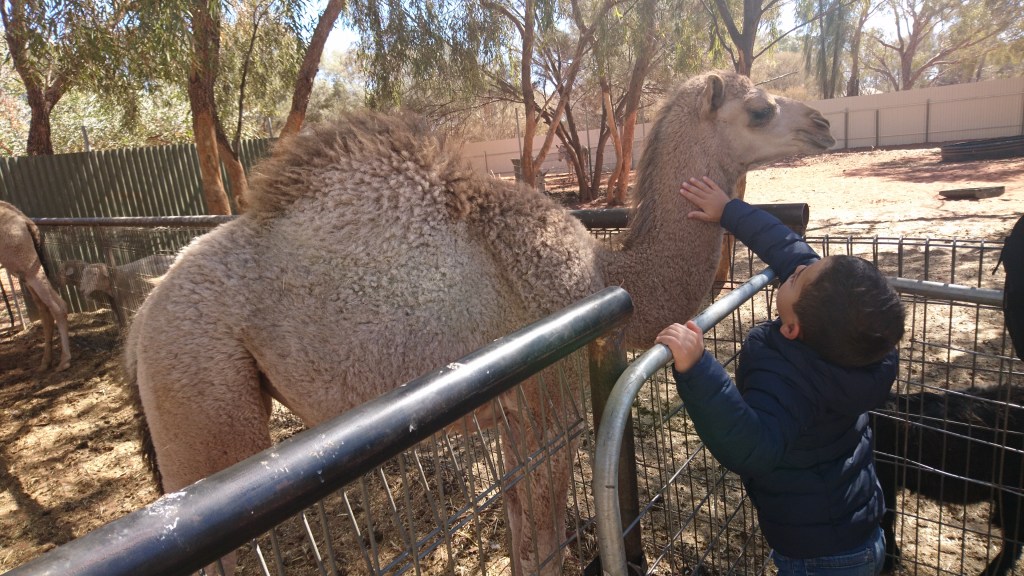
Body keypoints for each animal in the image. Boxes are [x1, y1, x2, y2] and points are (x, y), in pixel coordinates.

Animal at [0, 200, 71, 371]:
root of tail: (25, 221)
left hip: (25, 264)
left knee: (56, 307)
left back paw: (64, 361)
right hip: (25, 269)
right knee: (46, 307)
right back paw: (46, 362)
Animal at [125, 70, 834, 574]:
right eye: (760, 108)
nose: (825, 123)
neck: (610, 277)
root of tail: (140, 323)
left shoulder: (512, 419)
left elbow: (522, 542)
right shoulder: (550, 408)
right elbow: (544, 546)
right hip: (200, 396)